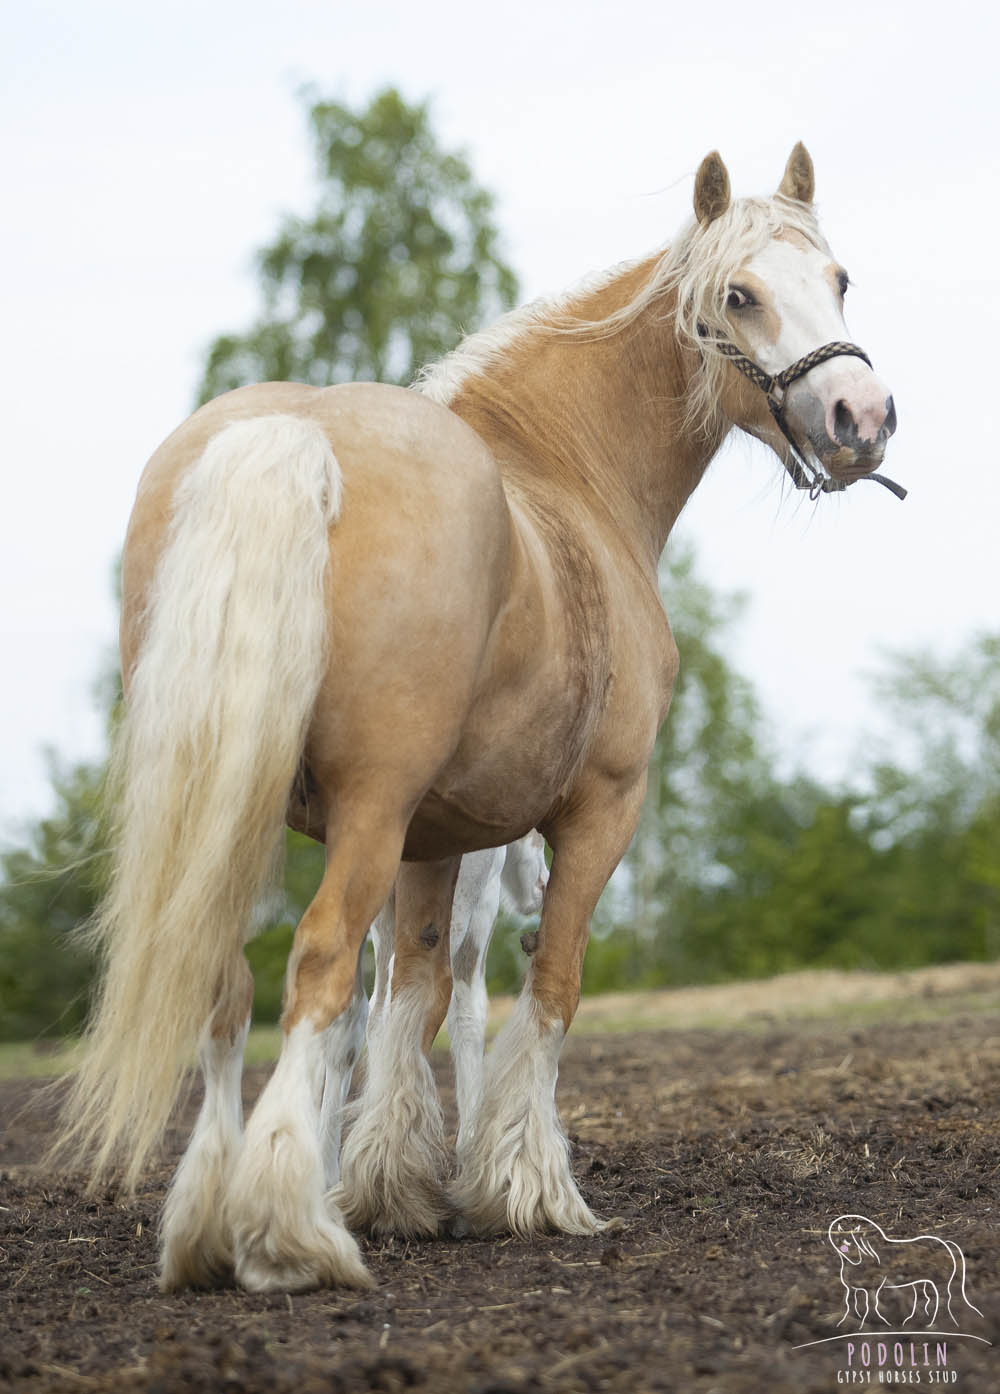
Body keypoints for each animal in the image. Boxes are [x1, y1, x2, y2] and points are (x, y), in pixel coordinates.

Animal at [50, 147, 898, 1288]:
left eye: (840, 279)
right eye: (738, 295)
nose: (861, 415)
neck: (565, 474)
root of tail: (294, 433)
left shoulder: (433, 835)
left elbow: (412, 990)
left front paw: (396, 1185)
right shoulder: (598, 812)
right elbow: (548, 987)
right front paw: (529, 1189)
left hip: (235, 803)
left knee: (226, 980)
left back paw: (205, 1229)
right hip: (361, 812)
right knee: (315, 963)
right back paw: (287, 1229)